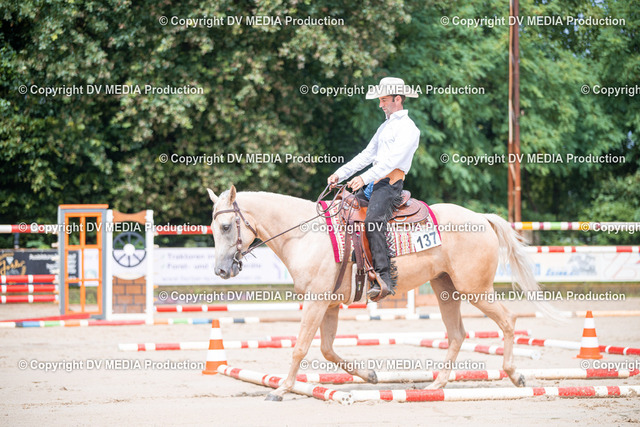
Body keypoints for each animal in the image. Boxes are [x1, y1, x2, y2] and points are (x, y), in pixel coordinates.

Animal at [206, 184, 559, 401]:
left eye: (226, 227)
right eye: (213, 228)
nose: (221, 271)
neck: (307, 234)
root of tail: (481, 219)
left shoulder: (316, 302)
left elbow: (300, 348)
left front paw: (280, 389)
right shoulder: (328, 305)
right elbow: (327, 350)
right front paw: (371, 376)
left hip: (476, 290)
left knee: (509, 321)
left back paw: (515, 376)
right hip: (446, 289)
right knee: (458, 334)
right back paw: (437, 384)